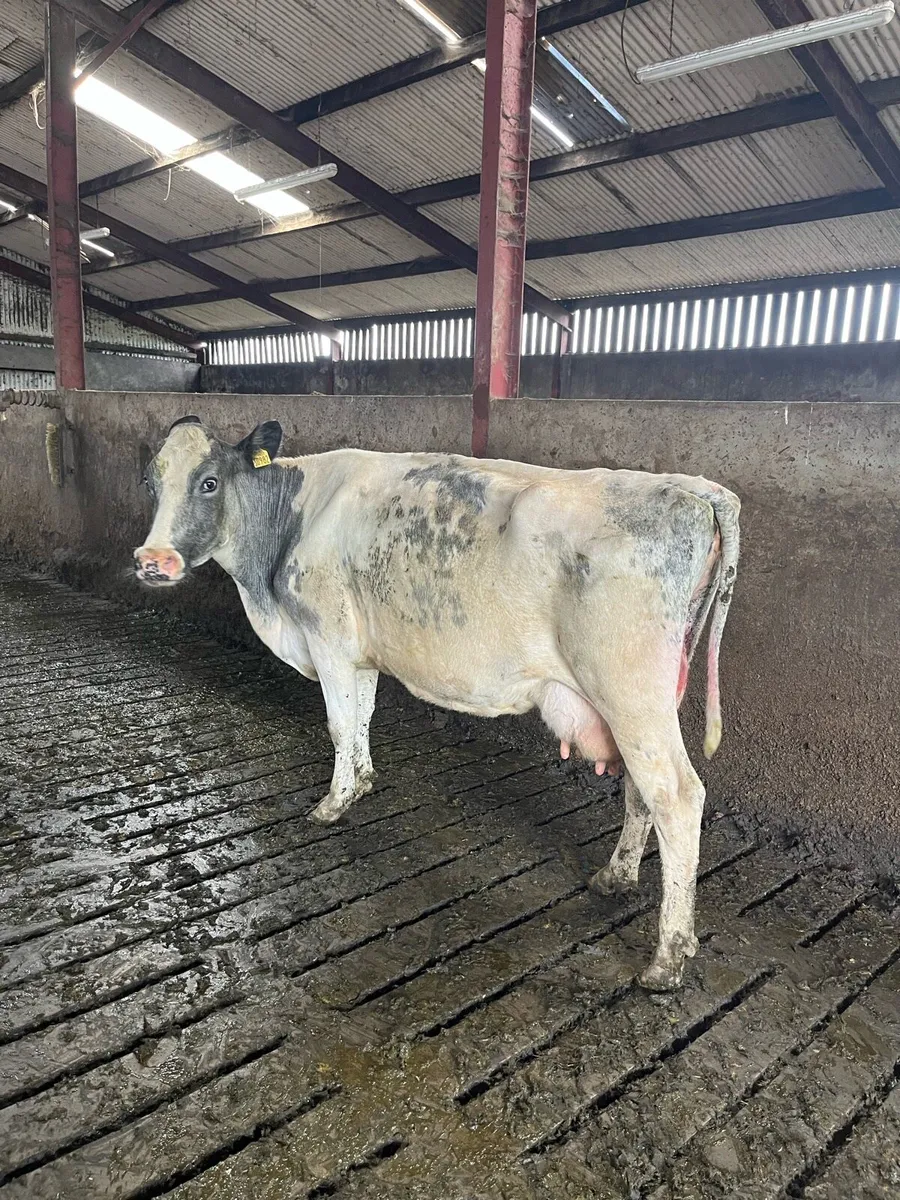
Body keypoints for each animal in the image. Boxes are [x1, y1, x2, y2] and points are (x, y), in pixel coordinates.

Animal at [134, 417, 740, 991]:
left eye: (209, 482)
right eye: (151, 483)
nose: (152, 561)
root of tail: (692, 489)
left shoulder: (329, 639)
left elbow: (337, 724)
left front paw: (331, 805)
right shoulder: (361, 652)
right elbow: (361, 717)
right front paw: (361, 782)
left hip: (629, 690)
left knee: (676, 796)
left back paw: (666, 960)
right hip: (643, 700)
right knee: (642, 788)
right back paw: (615, 879)